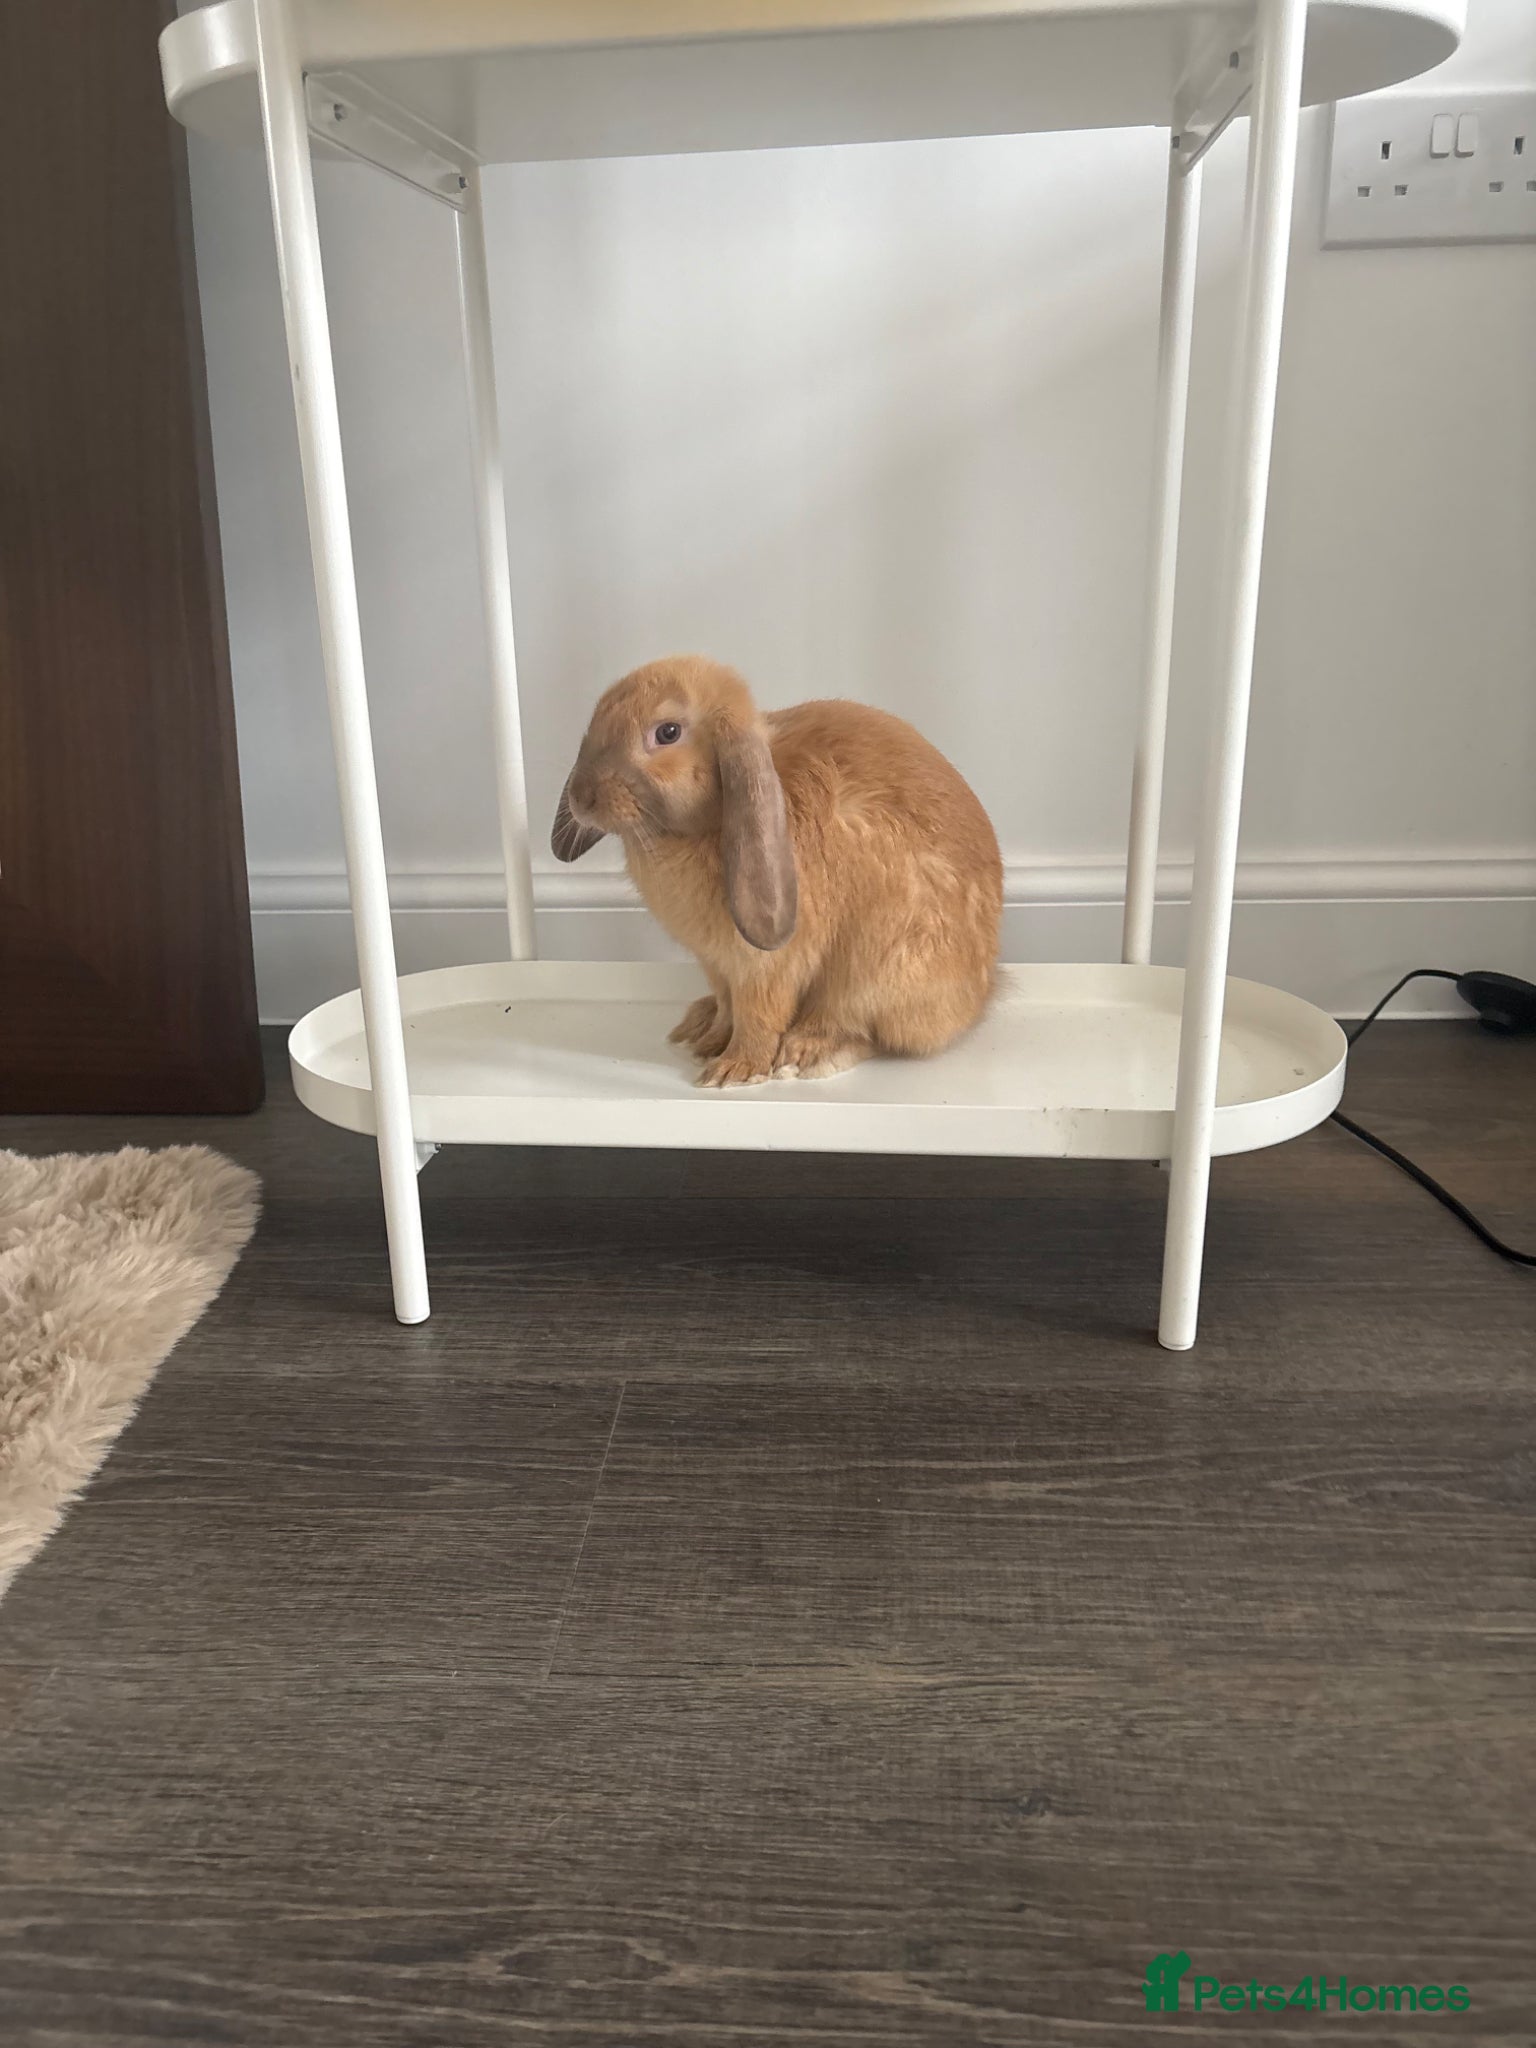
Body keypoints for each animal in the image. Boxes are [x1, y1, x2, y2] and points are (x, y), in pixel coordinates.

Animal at [551, 656, 1003, 1089]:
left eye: (667, 732)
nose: (581, 798)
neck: (707, 823)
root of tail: (980, 995)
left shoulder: (767, 966)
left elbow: (759, 1015)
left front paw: (734, 1070)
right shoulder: (717, 965)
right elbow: (728, 1006)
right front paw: (711, 1042)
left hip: (876, 966)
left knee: (861, 1028)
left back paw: (806, 1051)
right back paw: (698, 1024)